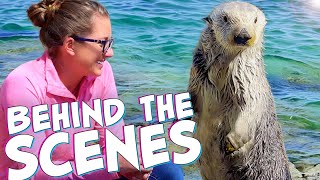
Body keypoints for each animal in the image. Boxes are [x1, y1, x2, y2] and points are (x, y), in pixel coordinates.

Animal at [189, 1, 292, 180]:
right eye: (225, 18)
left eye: (255, 20)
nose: (243, 35)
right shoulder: (197, 77)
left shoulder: (251, 86)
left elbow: (250, 111)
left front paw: (230, 144)